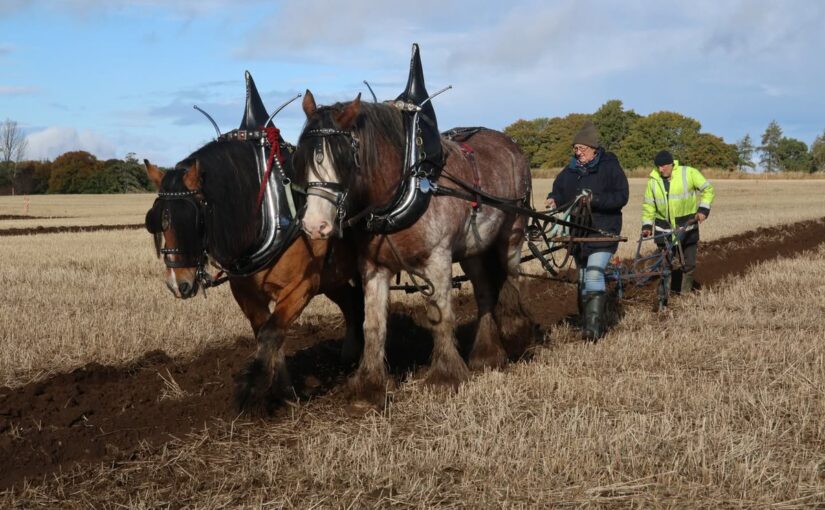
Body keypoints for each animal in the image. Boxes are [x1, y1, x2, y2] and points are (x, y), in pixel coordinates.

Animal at [144, 77, 360, 410]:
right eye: (157, 222)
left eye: (192, 221)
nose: (178, 284)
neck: (270, 212)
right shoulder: (246, 292)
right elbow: (267, 335)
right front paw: (285, 392)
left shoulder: (302, 286)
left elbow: (271, 334)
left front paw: (251, 387)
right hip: (332, 277)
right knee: (352, 303)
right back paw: (350, 355)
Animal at [296, 89, 536, 404]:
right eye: (302, 158)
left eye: (344, 159)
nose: (315, 226)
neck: (401, 191)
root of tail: (511, 144)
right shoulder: (373, 267)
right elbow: (373, 325)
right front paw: (369, 386)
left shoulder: (438, 259)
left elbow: (440, 316)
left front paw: (445, 376)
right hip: (473, 249)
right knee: (484, 293)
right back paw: (487, 355)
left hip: (512, 232)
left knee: (512, 279)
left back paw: (516, 334)